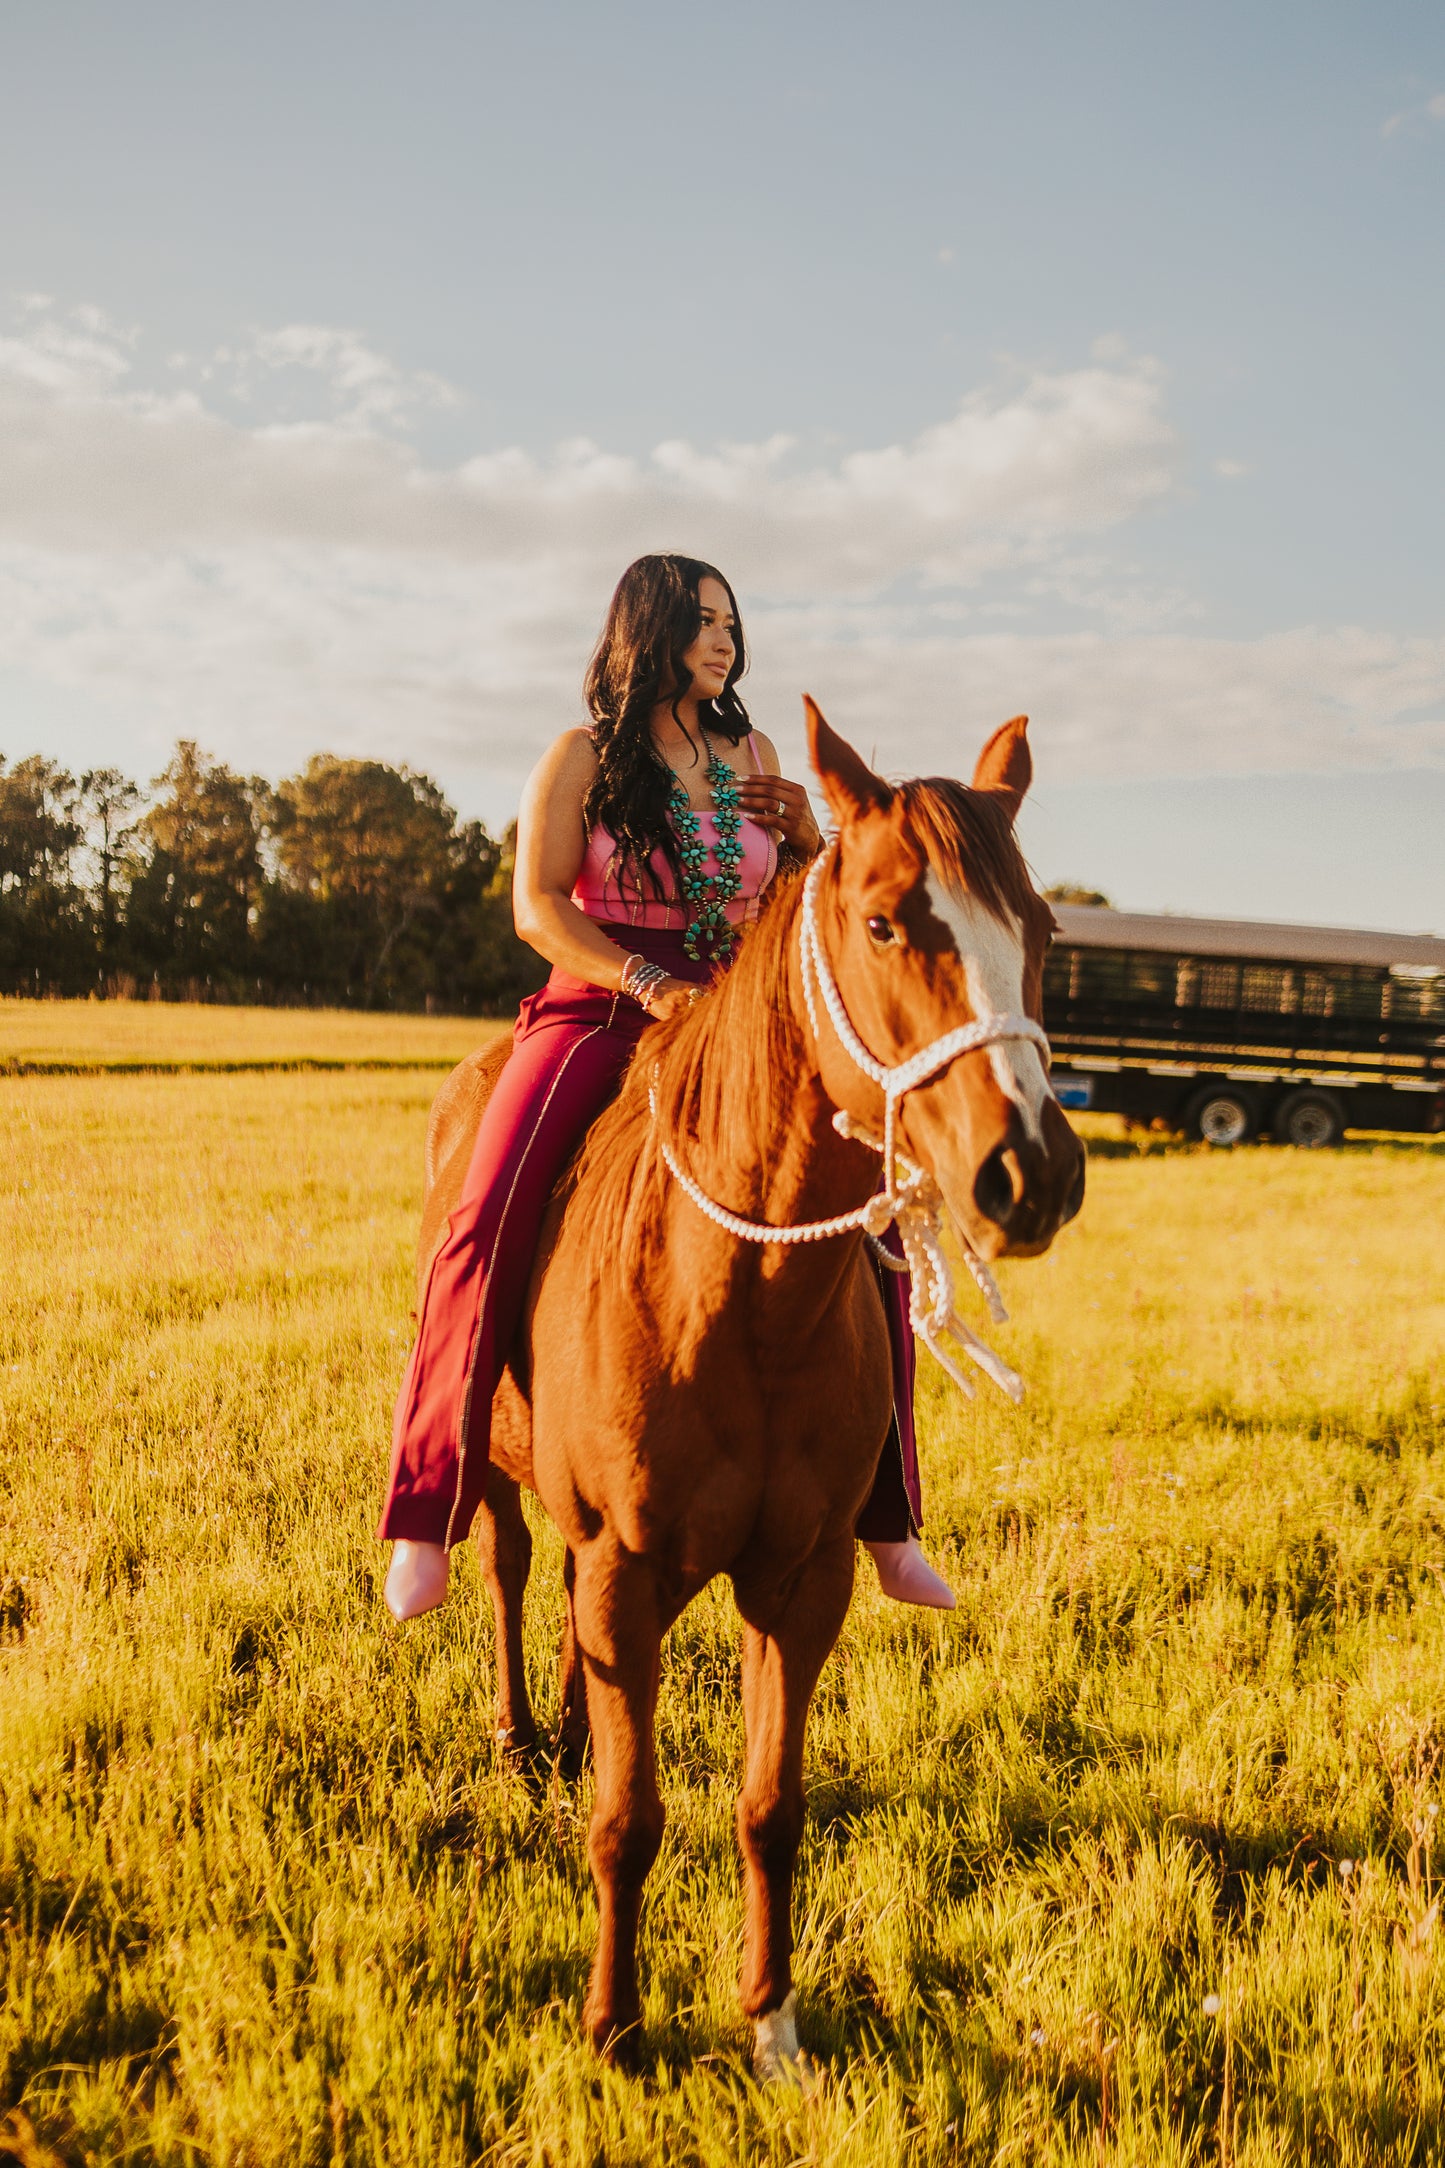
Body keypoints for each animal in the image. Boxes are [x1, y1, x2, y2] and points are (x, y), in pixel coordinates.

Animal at [411, 702, 1078, 2072]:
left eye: (1039, 931)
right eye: (883, 922)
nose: (1029, 1170)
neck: (739, 1302)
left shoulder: (801, 1577)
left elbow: (770, 1803)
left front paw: (769, 2017)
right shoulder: (625, 1566)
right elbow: (628, 1817)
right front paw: (613, 2026)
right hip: (499, 1475)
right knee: (506, 1568)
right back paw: (519, 1735)